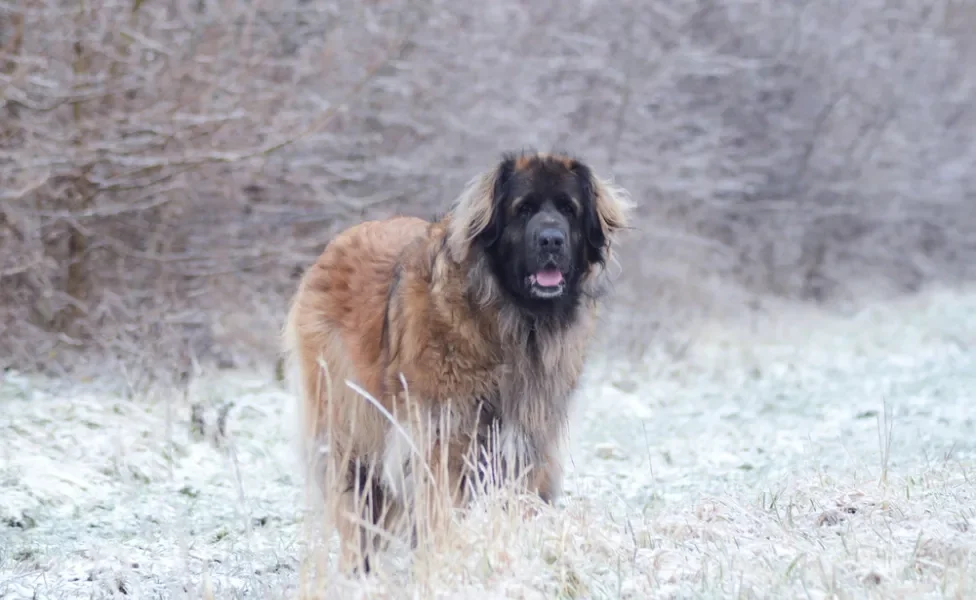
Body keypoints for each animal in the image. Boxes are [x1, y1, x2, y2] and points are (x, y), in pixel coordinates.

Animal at [282, 150, 632, 572]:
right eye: (523, 209)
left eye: (569, 209)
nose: (551, 239)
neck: (512, 324)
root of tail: (335, 245)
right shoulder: (441, 438)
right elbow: (439, 511)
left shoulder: (526, 442)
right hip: (348, 427)